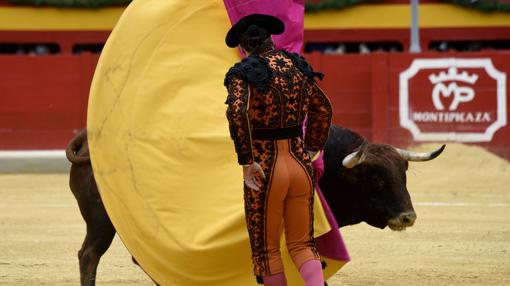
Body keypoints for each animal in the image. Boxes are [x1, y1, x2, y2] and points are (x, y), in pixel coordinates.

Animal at [66, 127, 442, 286]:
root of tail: (88, 137)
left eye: (403, 173)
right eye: (376, 179)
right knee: (89, 255)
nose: (407, 216)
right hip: (101, 220)